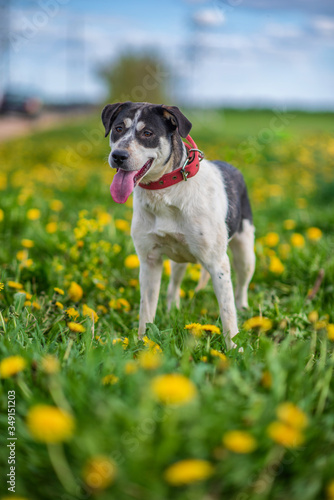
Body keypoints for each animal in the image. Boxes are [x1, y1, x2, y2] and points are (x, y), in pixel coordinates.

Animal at [102, 101, 256, 350]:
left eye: (148, 133)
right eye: (118, 128)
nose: (118, 156)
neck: (166, 190)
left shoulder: (218, 263)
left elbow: (227, 312)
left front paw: (234, 348)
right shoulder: (149, 261)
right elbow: (146, 310)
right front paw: (142, 342)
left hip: (245, 252)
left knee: (242, 285)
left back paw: (244, 308)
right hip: (179, 260)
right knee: (174, 285)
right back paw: (171, 309)